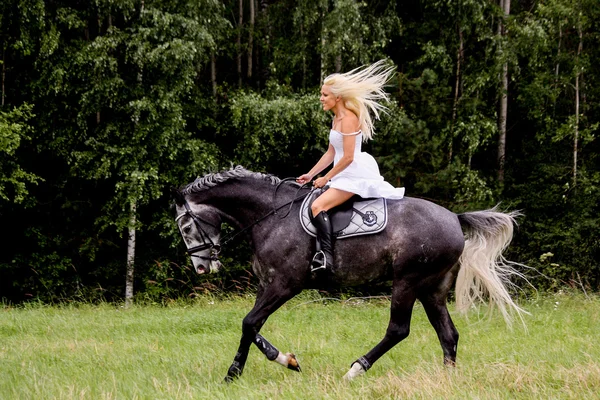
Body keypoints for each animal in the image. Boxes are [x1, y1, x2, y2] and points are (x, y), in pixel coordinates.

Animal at [171, 165, 528, 382]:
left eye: (186, 226)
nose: (201, 267)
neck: (270, 216)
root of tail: (454, 218)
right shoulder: (267, 285)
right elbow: (251, 325)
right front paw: (278, 361)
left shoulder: (285, 284)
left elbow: (248, 322)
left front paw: (240, 372)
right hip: (432, 289)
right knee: (448, 334)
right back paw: (446, 379)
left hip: (408, 282)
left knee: (398, 330)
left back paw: (356, 369)